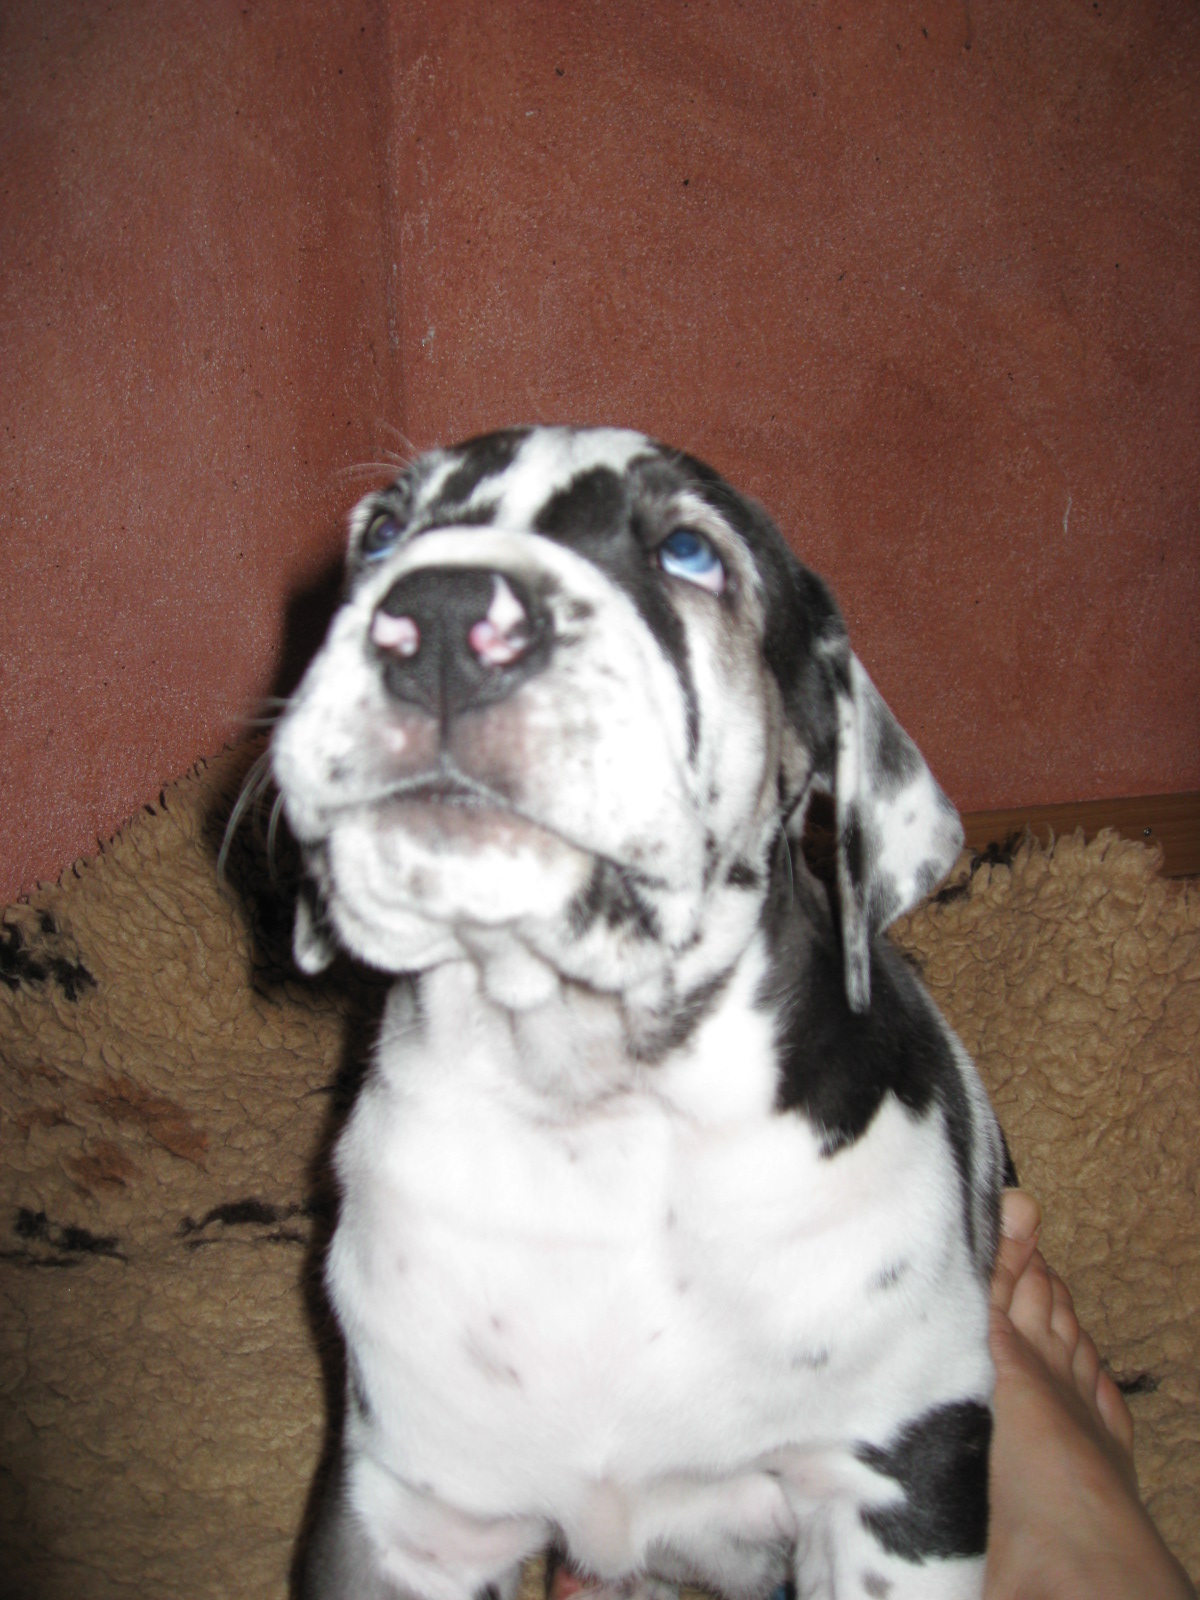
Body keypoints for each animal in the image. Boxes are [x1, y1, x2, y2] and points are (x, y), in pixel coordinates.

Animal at [271, 426, 1005, 1600]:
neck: (597, 1109)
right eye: (382, 532)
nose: (439, 616)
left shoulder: (903, 1470)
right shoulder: (407, 1514)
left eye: (689, 553)